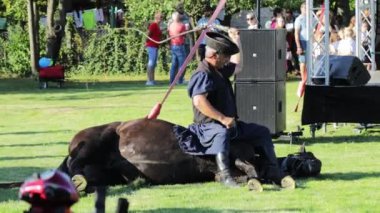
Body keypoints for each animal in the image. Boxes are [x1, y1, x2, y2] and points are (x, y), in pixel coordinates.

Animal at [58, 118, 290, 191]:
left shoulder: (220, 171)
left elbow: (246, 172)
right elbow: (250, 169)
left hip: (104, 173)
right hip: (93, 143)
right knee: (74, 165)